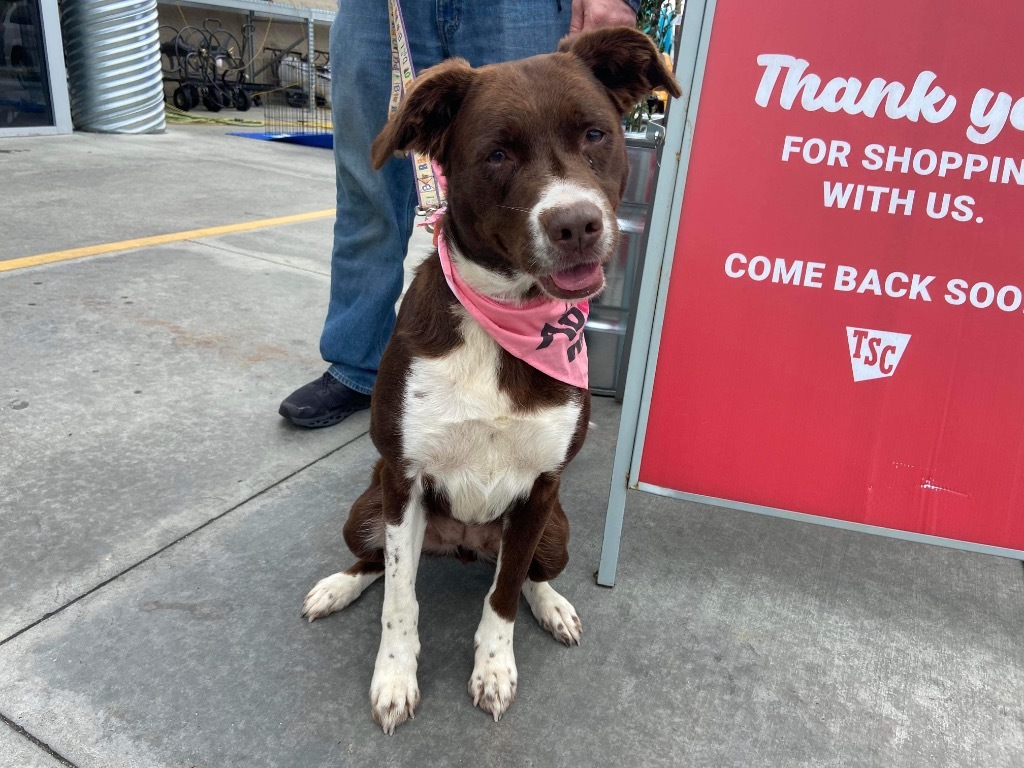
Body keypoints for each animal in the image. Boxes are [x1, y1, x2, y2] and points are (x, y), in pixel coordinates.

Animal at [299, 25, 675, 733]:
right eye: (497, 153)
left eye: (595, 133)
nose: (577, 224)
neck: (507, 322)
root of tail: (465, 543)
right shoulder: (405, 479)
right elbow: (400, 598)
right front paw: (395, 678)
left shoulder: (540, 489)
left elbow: (501, 598)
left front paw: (495, 669)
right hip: (365, 511)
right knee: (375, 561)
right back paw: (338, 586)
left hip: (556, 531)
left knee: (524, 574)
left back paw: (552, 605)